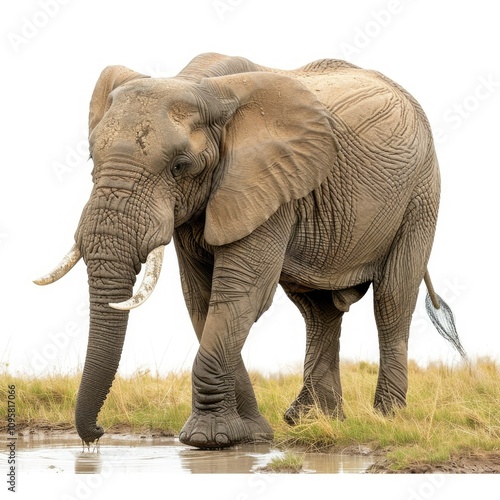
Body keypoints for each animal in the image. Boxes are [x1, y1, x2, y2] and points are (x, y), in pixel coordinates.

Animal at [33, 51, 458, 450]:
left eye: (180, 166)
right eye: (92, 158)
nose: (96, 435)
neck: (200, 87)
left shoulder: (271, 184)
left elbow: (240, 294)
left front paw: (208, 439)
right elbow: (203, 301)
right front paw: (252, 435)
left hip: (420, 193)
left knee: (392, 299)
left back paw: (386, 417)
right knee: (317, 310)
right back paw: (312, 420)